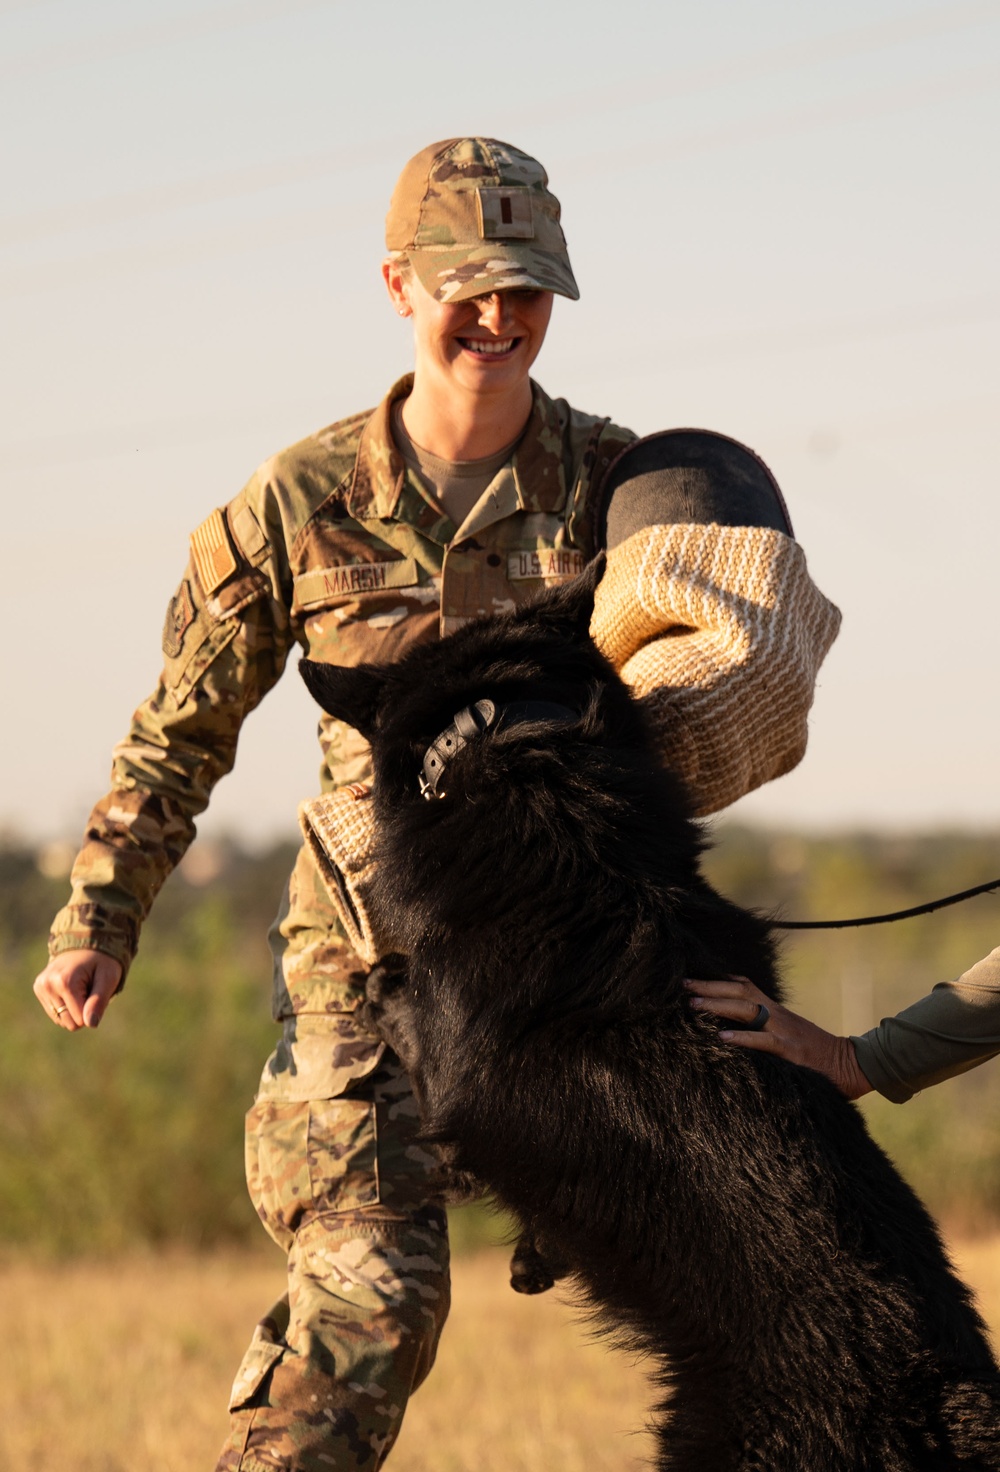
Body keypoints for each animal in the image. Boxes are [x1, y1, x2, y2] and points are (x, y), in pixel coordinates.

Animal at [303, 565, 1000, 1472]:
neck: (508, 747)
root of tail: (938, 1406)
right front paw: (533, 1259)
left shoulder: (446, 1076)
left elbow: (396, 1002)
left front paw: (380, 982)